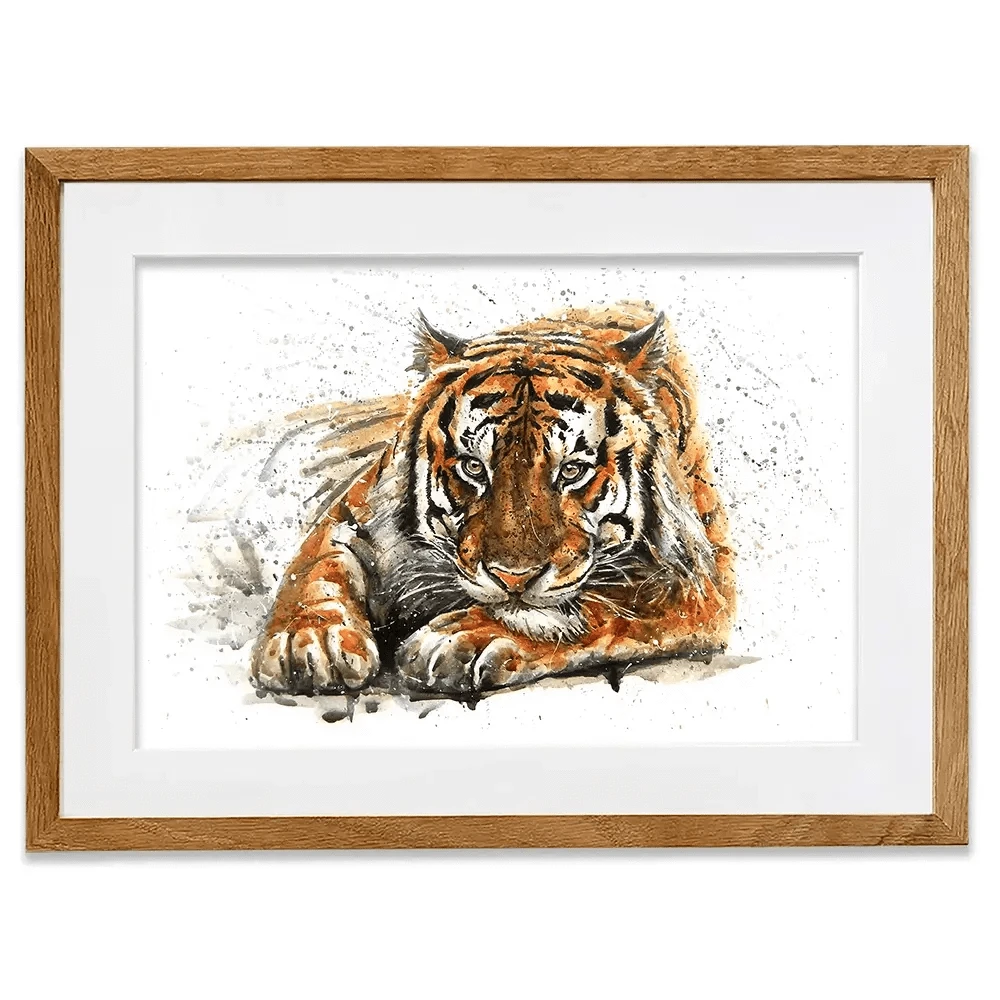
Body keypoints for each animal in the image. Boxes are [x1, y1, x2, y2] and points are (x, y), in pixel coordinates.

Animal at [251, 300, 736, 699]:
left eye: (572, 471)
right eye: (473, 468)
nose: (512, 578)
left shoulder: (698, 579)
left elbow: (602, 605)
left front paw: (464, 638)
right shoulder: (355, 511)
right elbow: (317, 568)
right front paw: (309, 640)